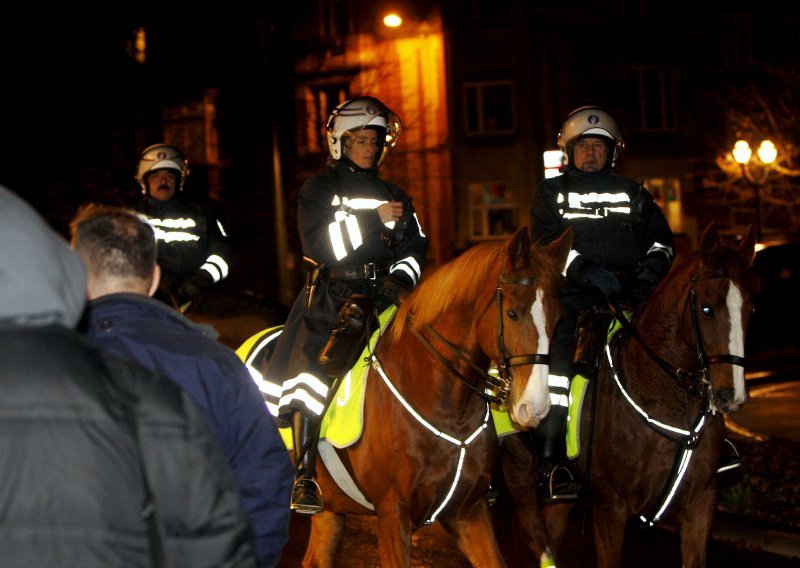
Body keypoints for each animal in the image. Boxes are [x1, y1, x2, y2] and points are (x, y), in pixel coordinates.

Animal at [241, 224, 572, 564]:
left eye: (558, 317)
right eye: (513, 313)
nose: (535, 406)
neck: (443, 404)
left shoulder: (468, 511)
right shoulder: (392, 515)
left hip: (329, 511)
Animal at [500, 223, 756, 568]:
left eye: (751, 309)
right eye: (707, 309)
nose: (732, 395)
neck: (664, 397)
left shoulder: (701, 503)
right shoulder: (610, 508)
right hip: (518, 473)